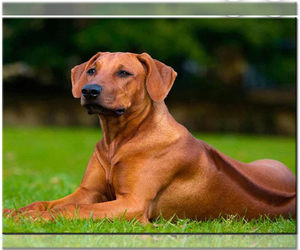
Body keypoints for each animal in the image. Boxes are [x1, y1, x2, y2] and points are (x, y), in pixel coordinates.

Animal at [3, 51, 296, 223]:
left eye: (124, 72)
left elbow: (68, 209)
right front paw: (14, 212)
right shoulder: (88, 191)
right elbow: (44, 202)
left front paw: (29, 219)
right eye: (92, 70)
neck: (118, 140)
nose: (89, 90)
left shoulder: (132, 204)